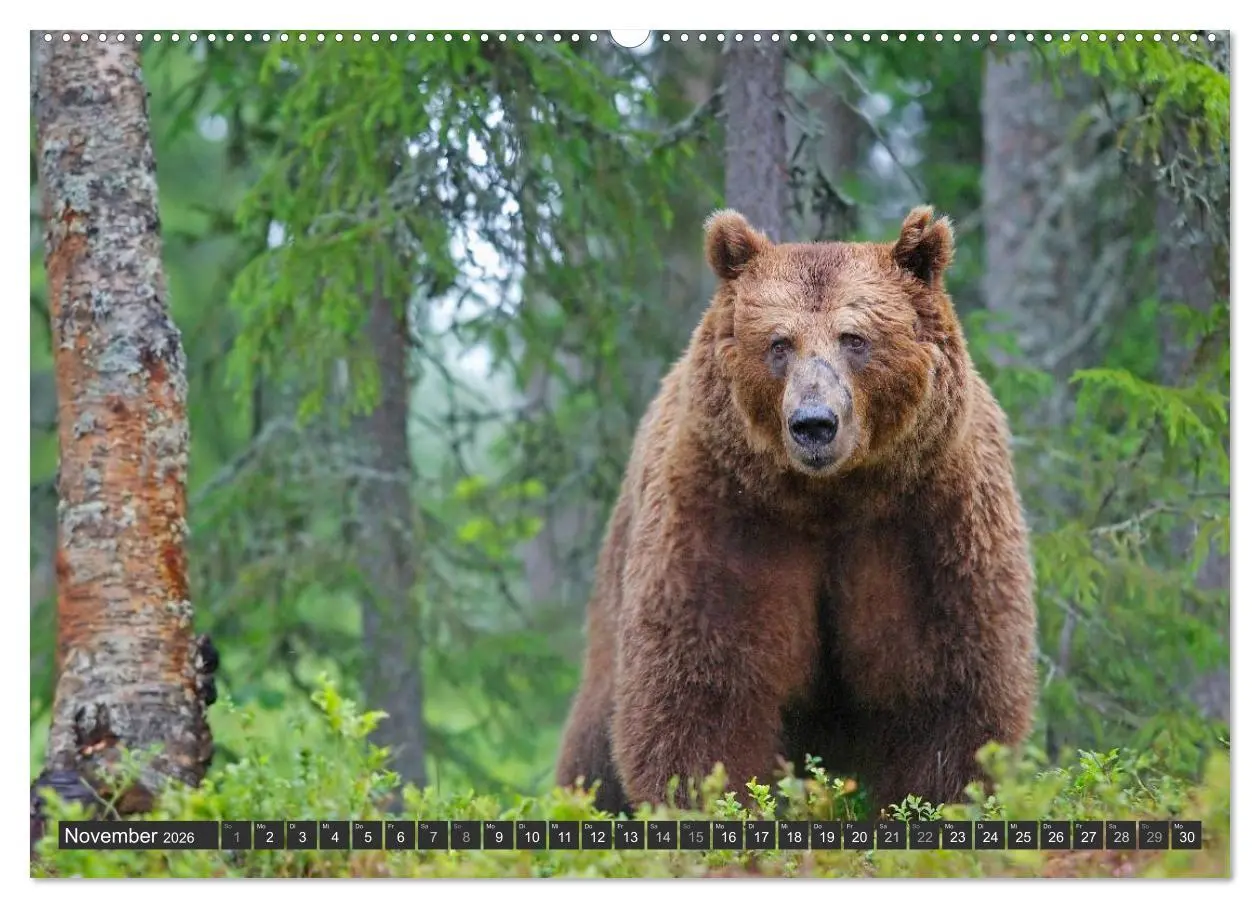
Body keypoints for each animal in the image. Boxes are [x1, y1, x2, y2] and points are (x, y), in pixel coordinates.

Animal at [555, 206, 1038, 816]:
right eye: (779, 343)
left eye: (855, 339)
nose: (813, 423)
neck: (830, 498)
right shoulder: (727, 515)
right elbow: (705, 687)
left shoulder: (932, 520)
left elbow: (946, 688)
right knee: (594, 745)